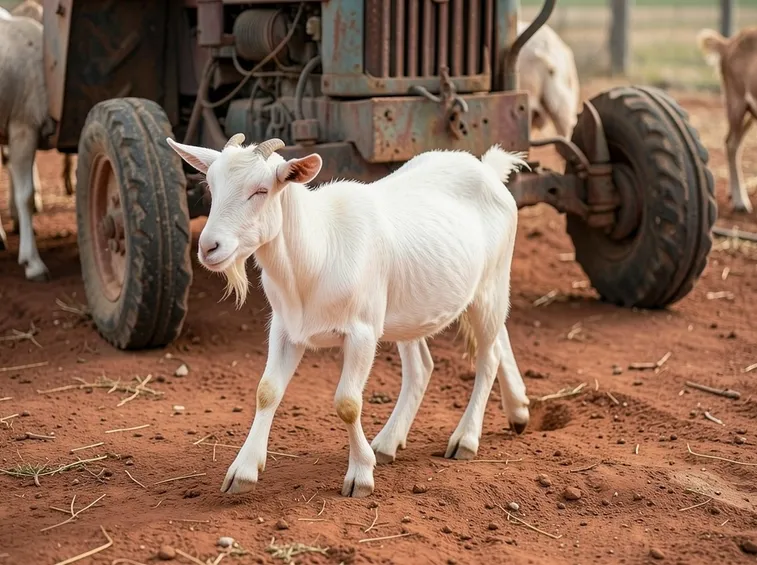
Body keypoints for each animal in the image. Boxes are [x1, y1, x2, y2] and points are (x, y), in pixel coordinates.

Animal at [167, 134, 531, 497]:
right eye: (211, 187)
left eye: (261, 190)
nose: (209, 247)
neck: (319, 250)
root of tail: (488, 169)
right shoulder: (285, 327)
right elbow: (266, 390)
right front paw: (242, 471)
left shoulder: (362, 332)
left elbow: (348, 403)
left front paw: (360, 476)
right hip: (418, 307)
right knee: (433, 364)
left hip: (491, 283)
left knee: (488, 355)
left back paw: (466, 438)